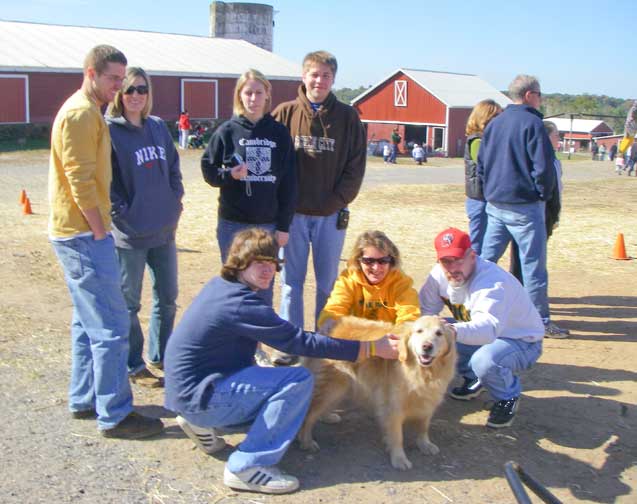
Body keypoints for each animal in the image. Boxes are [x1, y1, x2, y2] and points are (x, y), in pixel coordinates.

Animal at [296, 316, 454, 470]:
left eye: (439, 333)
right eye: (419, 331)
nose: (427, 346)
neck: (423, 372)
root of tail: (327, 329)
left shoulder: (428, 402)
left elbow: (423, 427)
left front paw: (425, 444)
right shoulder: (393, 407)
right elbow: (397, 436)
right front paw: (399, 458)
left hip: (339, 388)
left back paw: (327, 416)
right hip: (332, 387)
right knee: (309, 415)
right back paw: (306, 441)